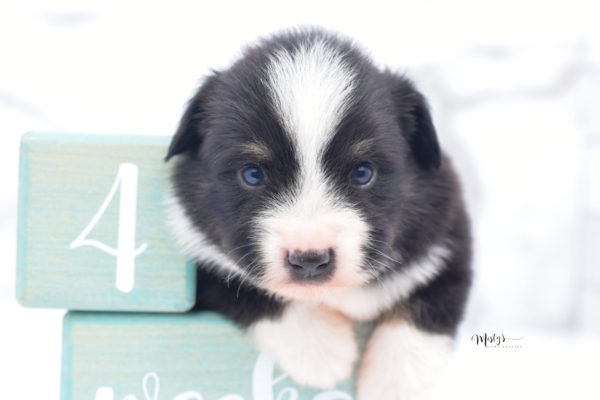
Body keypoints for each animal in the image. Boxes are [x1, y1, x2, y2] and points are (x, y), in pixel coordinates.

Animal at [165, 26, 474, 398]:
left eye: (363, 173)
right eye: (252, 174)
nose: (310, 259)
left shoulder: (446, 232)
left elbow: (429, 302)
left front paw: (393, 382)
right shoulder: (204, 257)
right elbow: (247, 286)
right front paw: (321, 350)